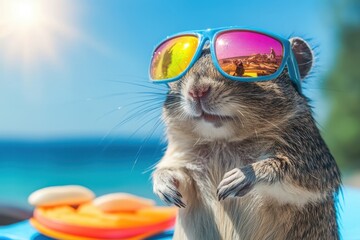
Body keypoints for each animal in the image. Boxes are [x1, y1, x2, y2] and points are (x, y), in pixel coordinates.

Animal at [151, 36, 340, 239]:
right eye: (176, 71)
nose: (197, 91)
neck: (222, 142)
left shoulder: (314, 159)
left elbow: (293, 171)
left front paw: (243, 175)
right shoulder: (184, 161)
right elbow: (177, 175)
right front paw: (164, 182)